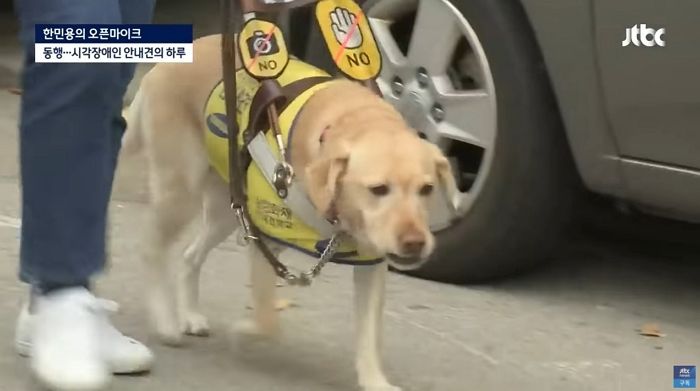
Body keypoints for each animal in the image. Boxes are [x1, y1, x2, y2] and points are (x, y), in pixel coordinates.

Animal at [121, 34, 460, 391]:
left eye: (427, 189)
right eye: (378, 189)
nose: (415, 243)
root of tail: (170, 60)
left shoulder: (371, 266)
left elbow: (369, 337)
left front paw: (375, 382)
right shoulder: (265, 242)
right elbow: (267, 319)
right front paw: (245, 330)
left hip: (226, 209)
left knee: (189, 256)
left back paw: (189, 315)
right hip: (180, 193)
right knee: (152, 249)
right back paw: (166, 322)